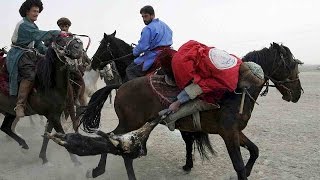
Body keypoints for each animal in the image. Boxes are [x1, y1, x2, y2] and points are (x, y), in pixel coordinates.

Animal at [0, 33, 84, 165]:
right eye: (59, 39)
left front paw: (43, 158)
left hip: (10, 112)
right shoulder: (54, 116)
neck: (48, 84)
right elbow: (61, 135)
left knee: (5, 127)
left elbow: (47, 135)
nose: (78, 47)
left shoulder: (53, 114)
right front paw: (76, 162)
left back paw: (24, 145)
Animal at [79, 41, 302, 179]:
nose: (298, 93)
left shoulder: (235, 132)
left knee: (113, 140)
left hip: (132, 123)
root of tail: (121, 85)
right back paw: (102, 170)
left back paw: (100, 169)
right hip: (130, 123)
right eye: (291, 65)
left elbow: (254, 151)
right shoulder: (228, 133)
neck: (237, 91)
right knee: (113, 140)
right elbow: (238, 166)